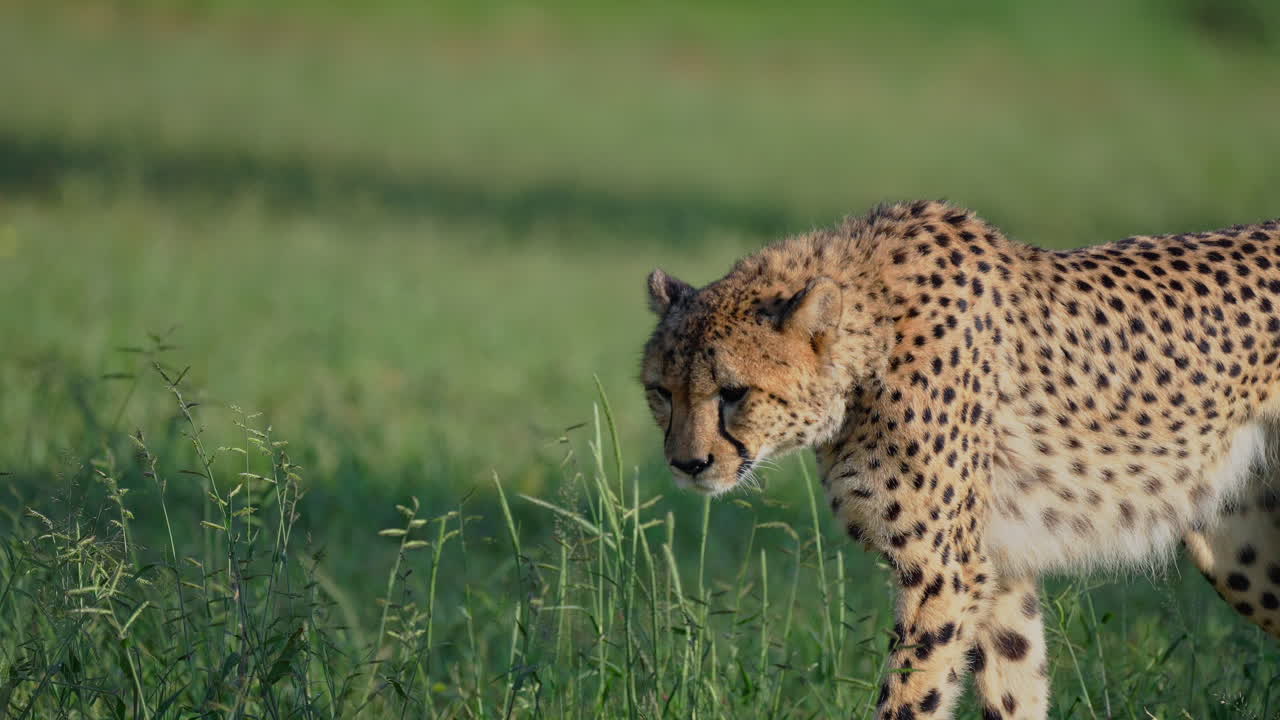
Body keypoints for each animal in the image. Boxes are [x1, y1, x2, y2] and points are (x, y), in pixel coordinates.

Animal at [638, 200, 1280, 719]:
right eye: (662, 392)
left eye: (733, 392)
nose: (688, 464)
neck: (872, 337)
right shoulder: (999, 569)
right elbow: (1016, 685)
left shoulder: (942, 569)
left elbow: (910, 696)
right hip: (1239, 550)